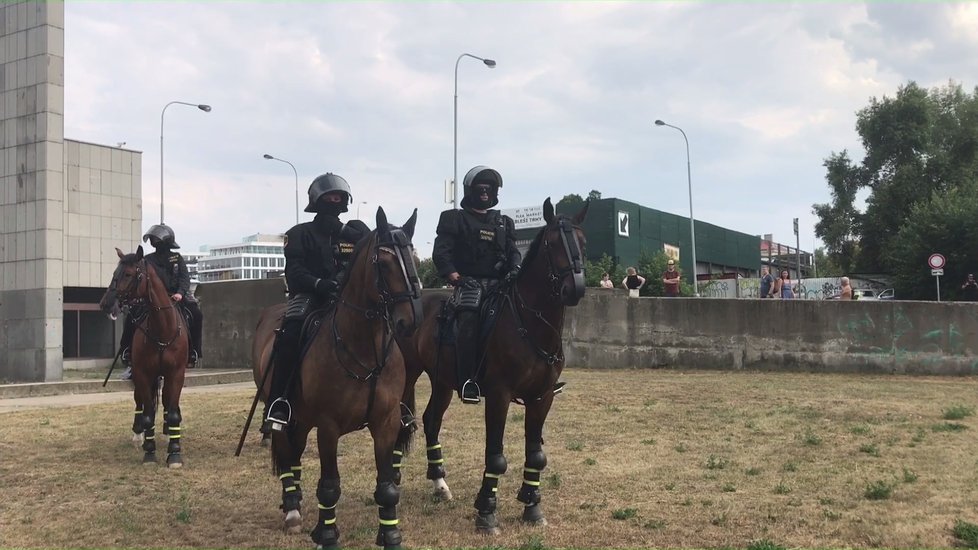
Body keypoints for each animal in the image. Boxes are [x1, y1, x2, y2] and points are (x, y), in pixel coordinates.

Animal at [99, 248, 191, 468]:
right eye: (114, 273)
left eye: (128, 274)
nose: (105, 303)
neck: (162, 329)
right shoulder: (142, 373)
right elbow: (148, 414)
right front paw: (149, 452)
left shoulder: (176, 373)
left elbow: (172, 410)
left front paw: (174, 452)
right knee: (140, 401)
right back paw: (138, 434)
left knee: (166, 400)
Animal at [255, 209, 420, 548]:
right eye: (384, 262)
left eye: (413, 258)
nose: (409, 321)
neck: (365, 349)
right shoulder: (328, 427)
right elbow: (330, 486)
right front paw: (327, 535)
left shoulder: (386, 423)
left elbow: (387, 486)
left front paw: (390, 535)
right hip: (287, 415)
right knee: (287, 453)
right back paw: (292, 509)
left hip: (302, 420)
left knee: (294, 454)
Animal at [394, 198, 588, 536]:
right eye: (552, 243)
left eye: (583, 242)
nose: (574, 288)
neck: (528, 323)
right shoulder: (499, 395)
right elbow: (496, 456)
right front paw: (486, 512)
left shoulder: (542, 397)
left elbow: (536, 454)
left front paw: (532, 507)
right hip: (408, 375)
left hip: (442, 381)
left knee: (431, 420)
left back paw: (439, 485)